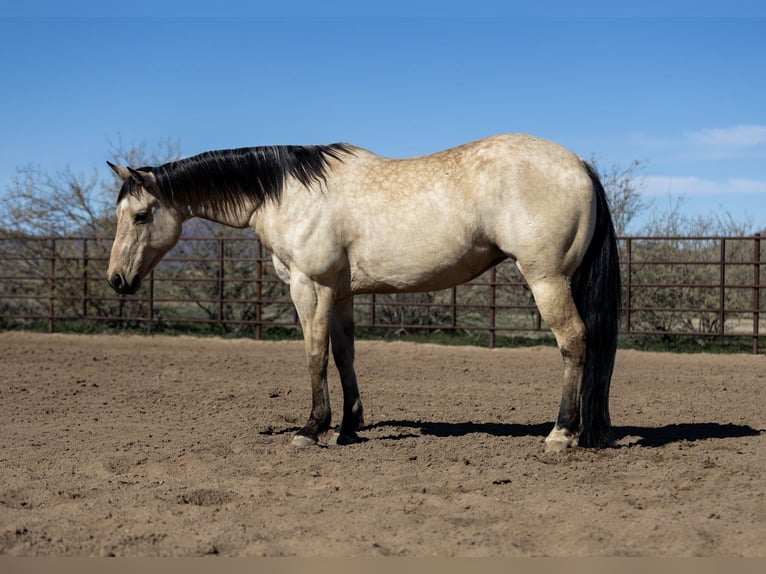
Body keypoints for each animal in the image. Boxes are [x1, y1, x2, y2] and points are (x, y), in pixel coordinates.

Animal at [106, 134, 621, 451]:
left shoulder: (309, 287)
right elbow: (343, 356)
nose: (116, 280)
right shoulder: (341, 293)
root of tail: (579, 165)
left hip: (546, 279)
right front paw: (349, 428)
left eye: (141, 216)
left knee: (573, 342)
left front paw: (312, 428)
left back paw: (561, 433)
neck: (288, 193)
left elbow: (314, 355)